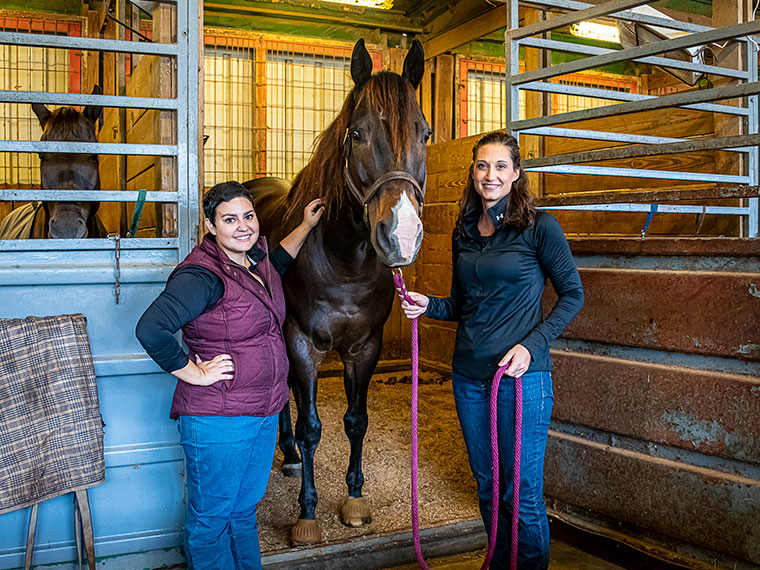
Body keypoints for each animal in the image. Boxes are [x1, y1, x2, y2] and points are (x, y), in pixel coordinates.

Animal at [246, 37, 430, 544]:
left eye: (425, 134)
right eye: (357, 134)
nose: (401, 234)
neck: (344, 260)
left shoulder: (364, 347)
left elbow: (356, 420)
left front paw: (354, 499)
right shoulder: (302, 342)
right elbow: (312, 425)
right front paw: (307, 514)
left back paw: (289, 456)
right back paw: (291, 456)